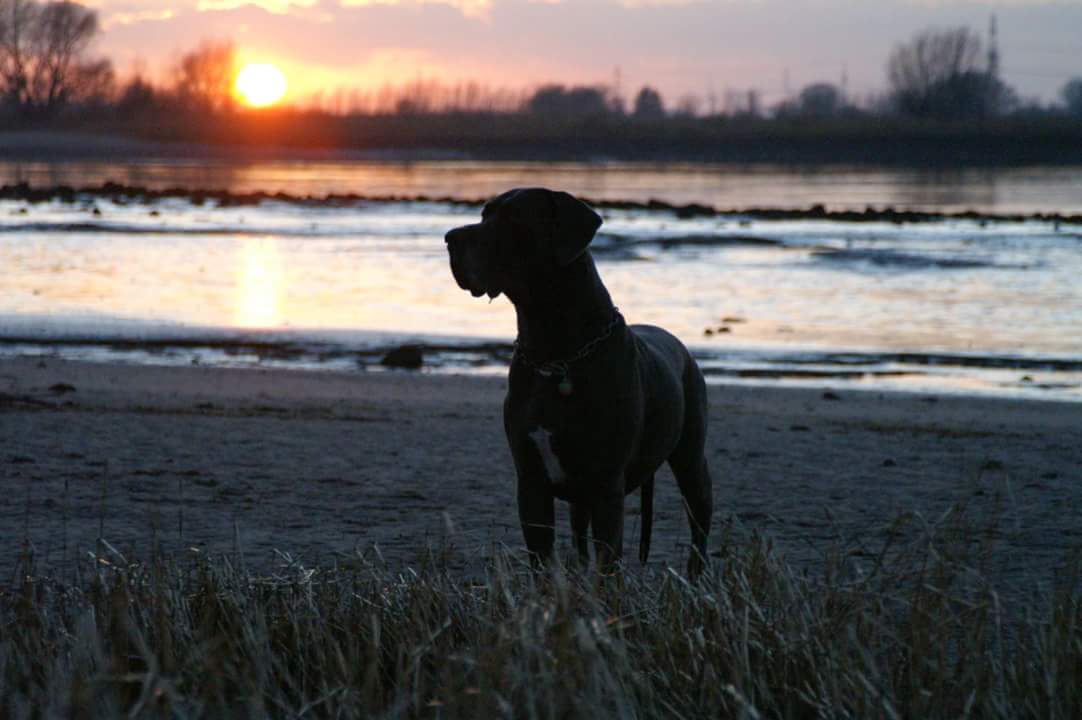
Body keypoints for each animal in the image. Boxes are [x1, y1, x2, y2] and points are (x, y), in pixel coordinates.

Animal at [443, 188, 714, 576]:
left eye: (513, 219)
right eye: (484, 215)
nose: (450, 237)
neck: (556, 353)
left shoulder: (605, 485)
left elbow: (607, 566)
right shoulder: (531, 484)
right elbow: (543, 563)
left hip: (691, 457)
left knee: (699, 521)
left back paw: (694, 579)